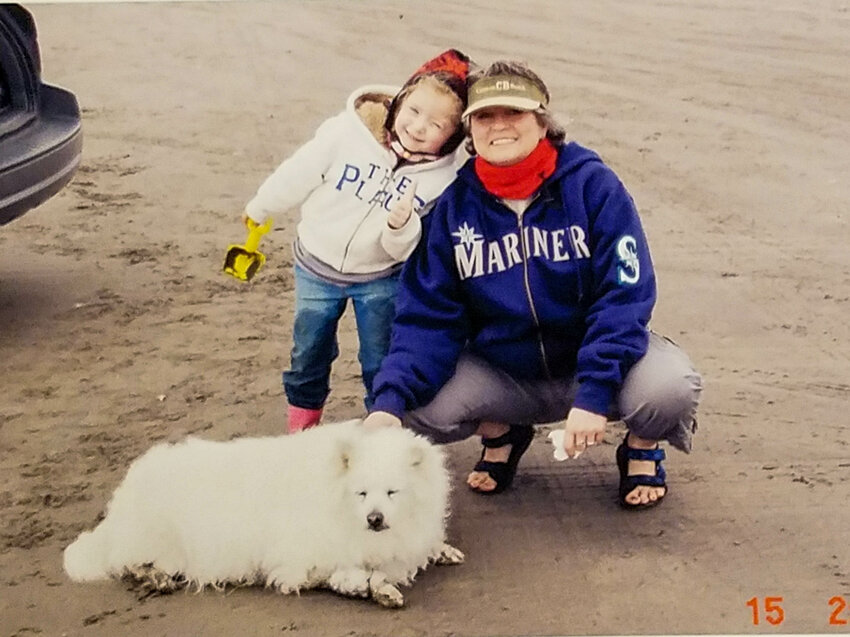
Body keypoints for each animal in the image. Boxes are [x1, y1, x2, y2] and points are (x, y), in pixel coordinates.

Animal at [64, 418, 464, 608]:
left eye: (392, 492)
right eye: (362, 493)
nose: (374, 519)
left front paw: (440, 550)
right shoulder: (299, 561)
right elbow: (342, 576)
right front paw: (371, 588)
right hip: (161, 540)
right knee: (129, 562)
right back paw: (156, 578)